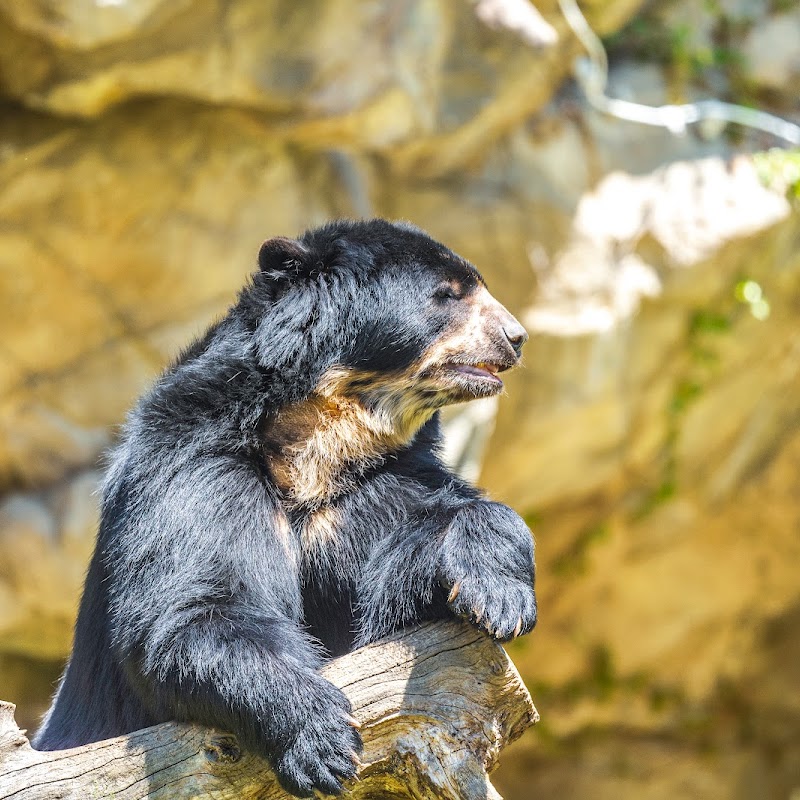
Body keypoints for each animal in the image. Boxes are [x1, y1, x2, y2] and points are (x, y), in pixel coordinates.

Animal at [32, 217, 536, 792]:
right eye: (447, 294)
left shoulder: (372, 487)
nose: (516, 337)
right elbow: (197, 610)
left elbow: (398, 576)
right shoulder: (196, 467)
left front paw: (495, 599)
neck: (318, 442)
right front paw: (323, 745)